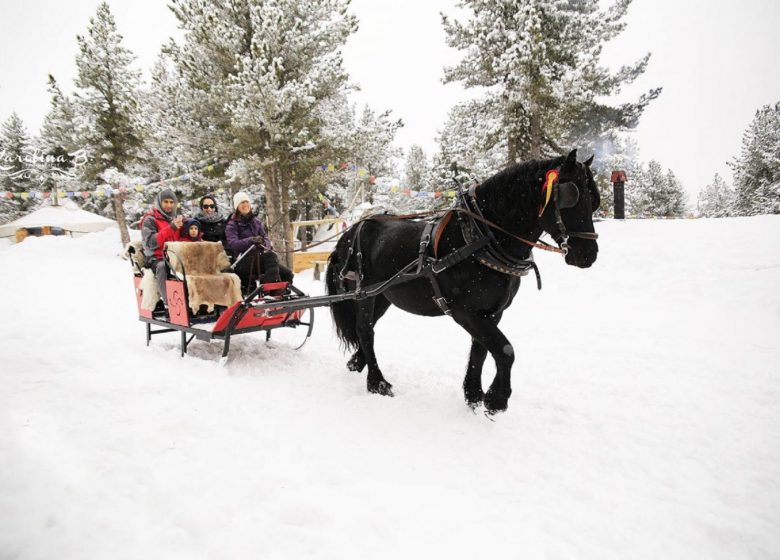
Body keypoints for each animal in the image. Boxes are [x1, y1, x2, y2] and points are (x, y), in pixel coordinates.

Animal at [326, 151, 600, 414]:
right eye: (573, 198)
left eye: (594, 201)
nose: (588, 254)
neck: (480, 238)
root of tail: (350, 233)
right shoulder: (465, 312)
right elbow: (505, 350)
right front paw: (496, 400)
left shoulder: (492, 312)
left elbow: (481, 351)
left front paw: (475, 396)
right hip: (364, 295)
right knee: (365, 330)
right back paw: (377, 382)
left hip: (383, 297)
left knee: (367, 329)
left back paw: (357, 363)